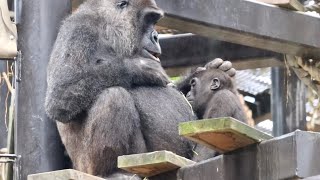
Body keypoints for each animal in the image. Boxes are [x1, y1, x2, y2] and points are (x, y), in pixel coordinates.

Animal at [45, 0, 235, 178]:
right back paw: (110, 172)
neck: (107, 27)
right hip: (85, 168)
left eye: (155, 20)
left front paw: (212, 69)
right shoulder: (79, 28)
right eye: (149, 18)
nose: (156, 36)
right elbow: (61, 95)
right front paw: (141, 67)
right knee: (113, 96)